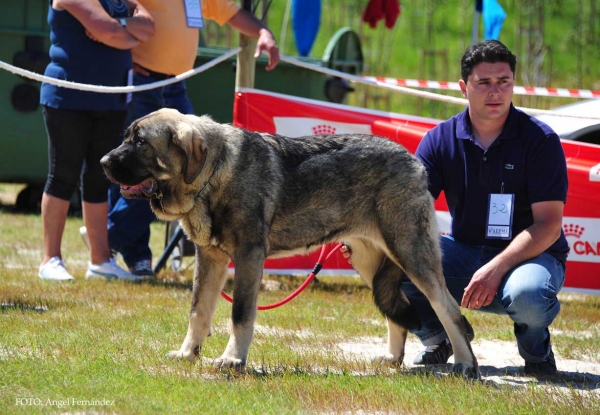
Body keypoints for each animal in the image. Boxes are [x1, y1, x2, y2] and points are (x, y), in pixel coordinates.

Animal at [101, 109, 480, 378]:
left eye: (140, 142)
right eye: (127, 137)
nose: (103, 162)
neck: (212, 175)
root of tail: (412, 159)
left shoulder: (249, 257)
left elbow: (240, 314)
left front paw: (233, 359)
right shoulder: (210, 258)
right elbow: (198, 311)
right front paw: (188, 353)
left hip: (411, 253)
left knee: (449, 309)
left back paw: (466, 364)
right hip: (369, 260)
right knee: (396, 311)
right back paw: (391, 357)